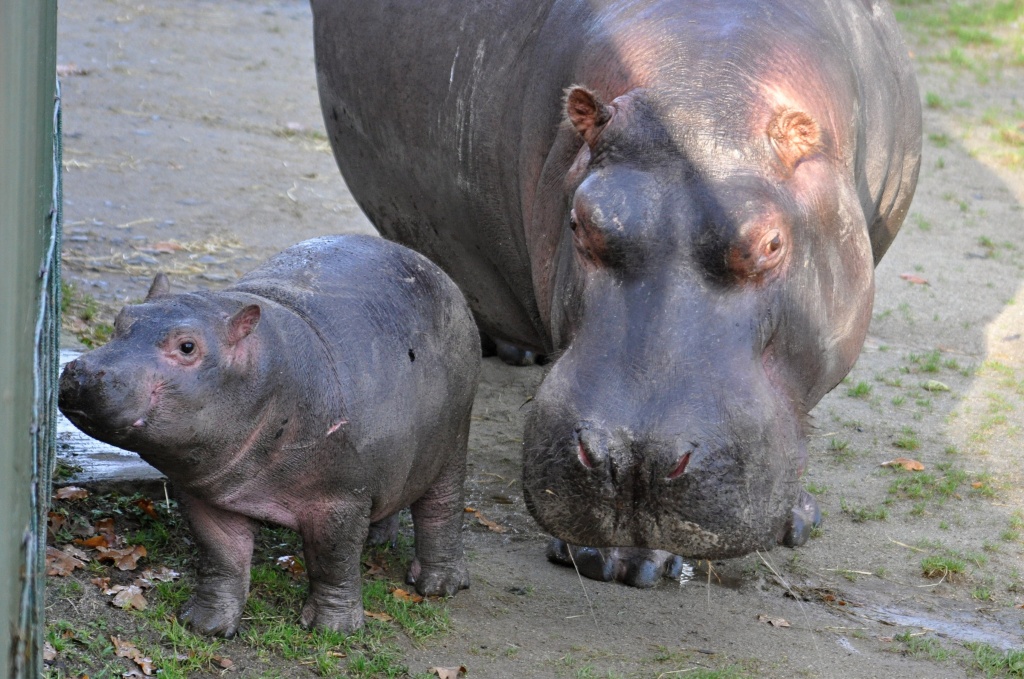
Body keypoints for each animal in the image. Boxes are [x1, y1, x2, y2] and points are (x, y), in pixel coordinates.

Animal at [58, 235, 479, 635]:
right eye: (120, 319)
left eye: (188, 346)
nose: (82, 372)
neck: (270, 370)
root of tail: (437, 271)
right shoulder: (207, 494)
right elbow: (221, 556)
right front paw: (205, 625)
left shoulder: (340, 499)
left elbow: (333, 561)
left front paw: (333, 630)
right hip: (392, 458)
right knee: (394, 493)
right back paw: (377, 541)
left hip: (453, 438)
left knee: (442, 507)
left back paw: (436, 585)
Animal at [312, 0, 921, 585]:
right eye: (580, 221)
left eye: (771, 241)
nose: (633, 463)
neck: (706, 82)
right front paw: (620, 562)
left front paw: (798, 520)